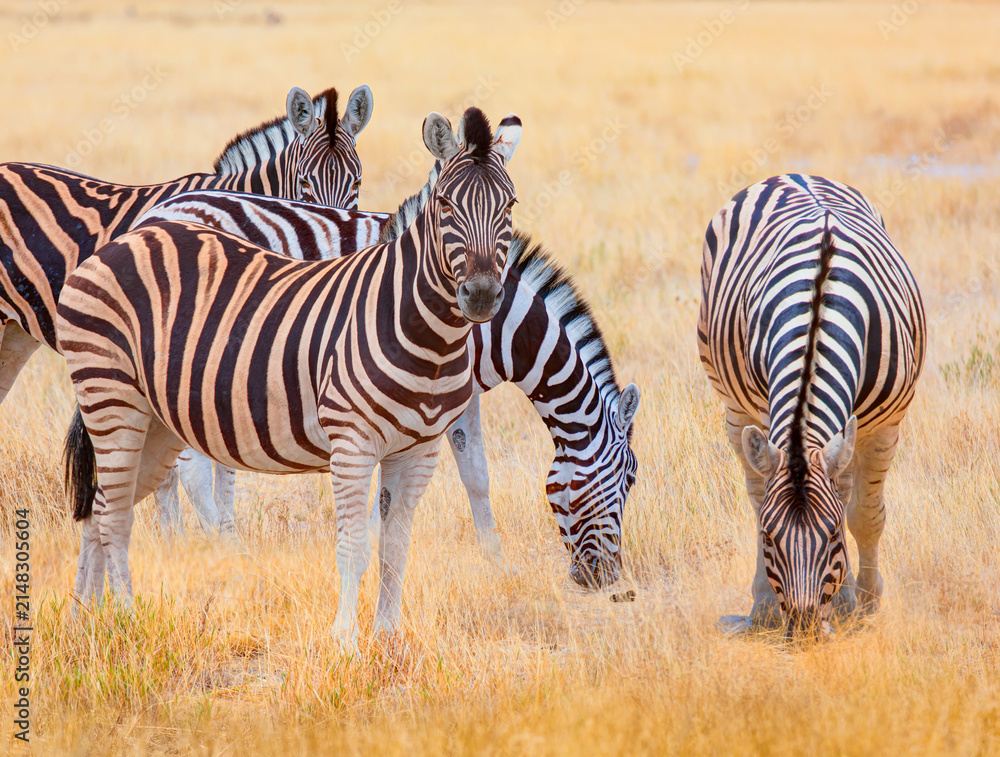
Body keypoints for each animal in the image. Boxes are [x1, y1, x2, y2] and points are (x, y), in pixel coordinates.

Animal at [59, 108, 521, 648]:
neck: (426, 335)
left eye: (510, 205)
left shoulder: (419, 450)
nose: (482, 296)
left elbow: (395, 548)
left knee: (99, 507)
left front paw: (388, 641)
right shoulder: (352, 442)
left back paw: (83, 619)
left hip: (154, 424)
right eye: (446, 204)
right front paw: (345, 644)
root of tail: (128, 238)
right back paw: (126, 618)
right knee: (113, 515)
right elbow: (355, 548)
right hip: (111, 396)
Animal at [133, 172, 639, 586]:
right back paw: (226, 550)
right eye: (627, 482)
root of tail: (154, 213)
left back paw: (182, 542)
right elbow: (458, 475)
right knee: (189, 467)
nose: (606, 579)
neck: (499, 325)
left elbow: (473, 475)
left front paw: (494, 563)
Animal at [697, 174, 925, 637]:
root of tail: (791, 175)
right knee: (755, 492)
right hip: (735, 409)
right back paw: (764, 606)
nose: (804, 629)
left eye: (834, 535)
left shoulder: (885, 426)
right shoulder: (768, 416)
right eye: (770, 538)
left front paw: (865, 603)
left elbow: (865, 515)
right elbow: (764, 503)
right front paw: (841, 603)